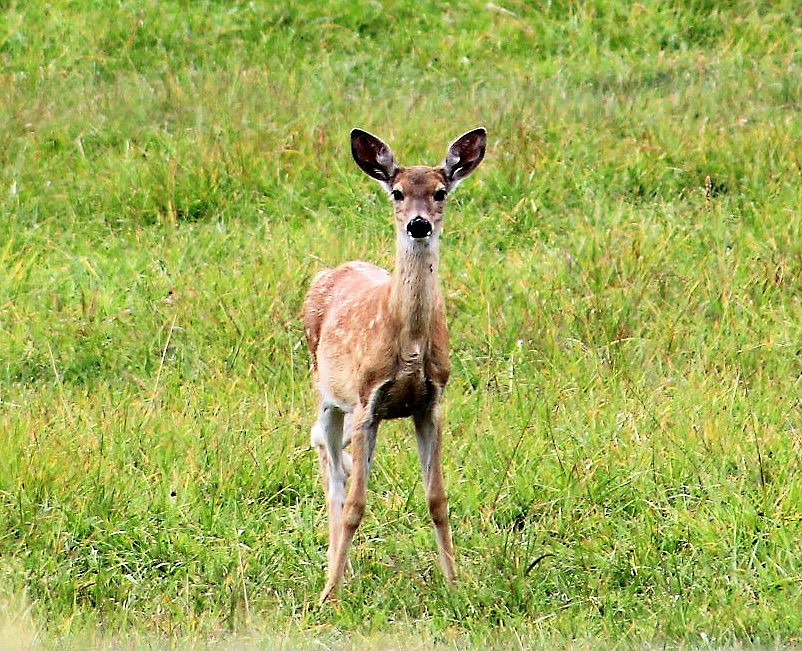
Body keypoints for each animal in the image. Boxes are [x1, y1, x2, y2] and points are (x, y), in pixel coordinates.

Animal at [302, 126, 484, 600]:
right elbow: (355, 504)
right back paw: (335, 573)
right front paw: (329, 595)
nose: (418, 223)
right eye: (397, 192)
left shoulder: (430, 402)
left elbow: (437, 499)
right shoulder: (366, 400)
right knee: (329, 465)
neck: (411, 343)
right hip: (328, 391)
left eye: (440, 192)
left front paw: (455, 584)